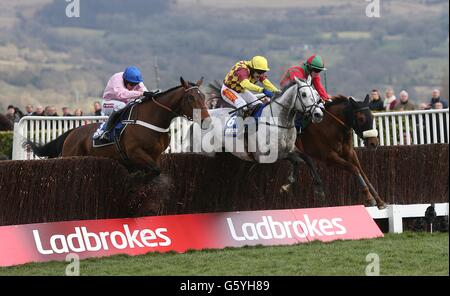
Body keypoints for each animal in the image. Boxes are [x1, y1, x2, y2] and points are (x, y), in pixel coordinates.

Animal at [26, 77, 211, 177]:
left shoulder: (156, 155)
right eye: (191, 98)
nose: (206, 121)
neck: (153, 121)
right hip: (71, 156)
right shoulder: (135, 152)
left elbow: (156, 170)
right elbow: (155, 170)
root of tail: (72, 132)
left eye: (203, 96)